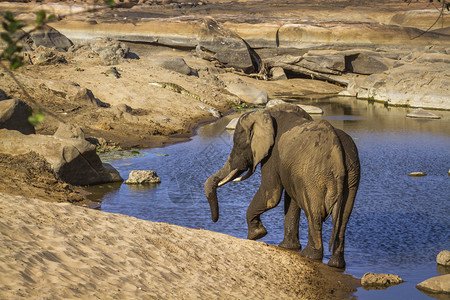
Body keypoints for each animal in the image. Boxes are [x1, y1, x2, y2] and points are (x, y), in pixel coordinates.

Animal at [206, 103, 360, 268]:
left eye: (238, 145)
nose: (214, 220)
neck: (267, 114)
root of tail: (337, 151)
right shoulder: (290, 168)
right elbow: (291, 199)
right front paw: (287, 247)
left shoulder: (273, 155)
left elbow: (271, 195)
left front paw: (257, 235)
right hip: (351, 174)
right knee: (343, 218)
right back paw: (336, 264)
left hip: (314, 175)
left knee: (314, 212)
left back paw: (309, 255)